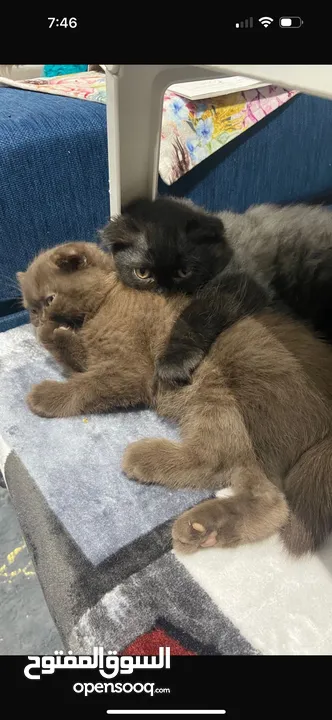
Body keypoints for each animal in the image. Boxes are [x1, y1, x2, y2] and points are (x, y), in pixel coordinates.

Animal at [17, 242, 332, 556]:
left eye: (49, 299)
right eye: (31, 309)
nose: (38, 319)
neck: (106, 302)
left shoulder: (128, 371)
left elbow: (86, 385)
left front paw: (46, 391)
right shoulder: (96, 357)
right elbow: (77, 361)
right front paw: (55, 335)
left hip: (218, 396)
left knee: (218, 462)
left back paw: (146, 459)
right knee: (268, 499)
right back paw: (203, 529)